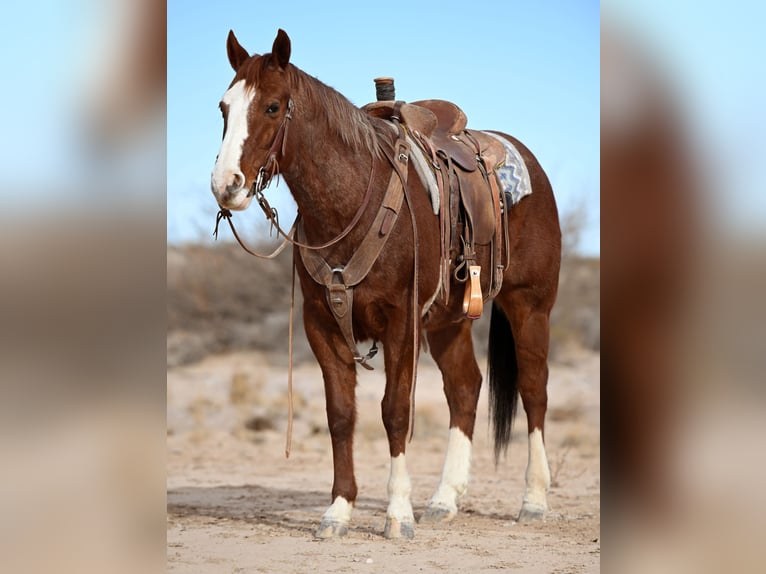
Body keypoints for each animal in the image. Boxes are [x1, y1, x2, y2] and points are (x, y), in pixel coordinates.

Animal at [210, 28, 564, 540]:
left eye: (273, 106)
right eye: (224, 107)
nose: (226, 185)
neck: (353, 199)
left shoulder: (402, 324)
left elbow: (395, 412)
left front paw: (398, 513)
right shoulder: (322, 325)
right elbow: (341, 416)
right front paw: (338, 510)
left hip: (529, 307)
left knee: (534, 389)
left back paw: (533, 500)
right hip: (449, 323)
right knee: (465, 388)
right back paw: (443, 499)